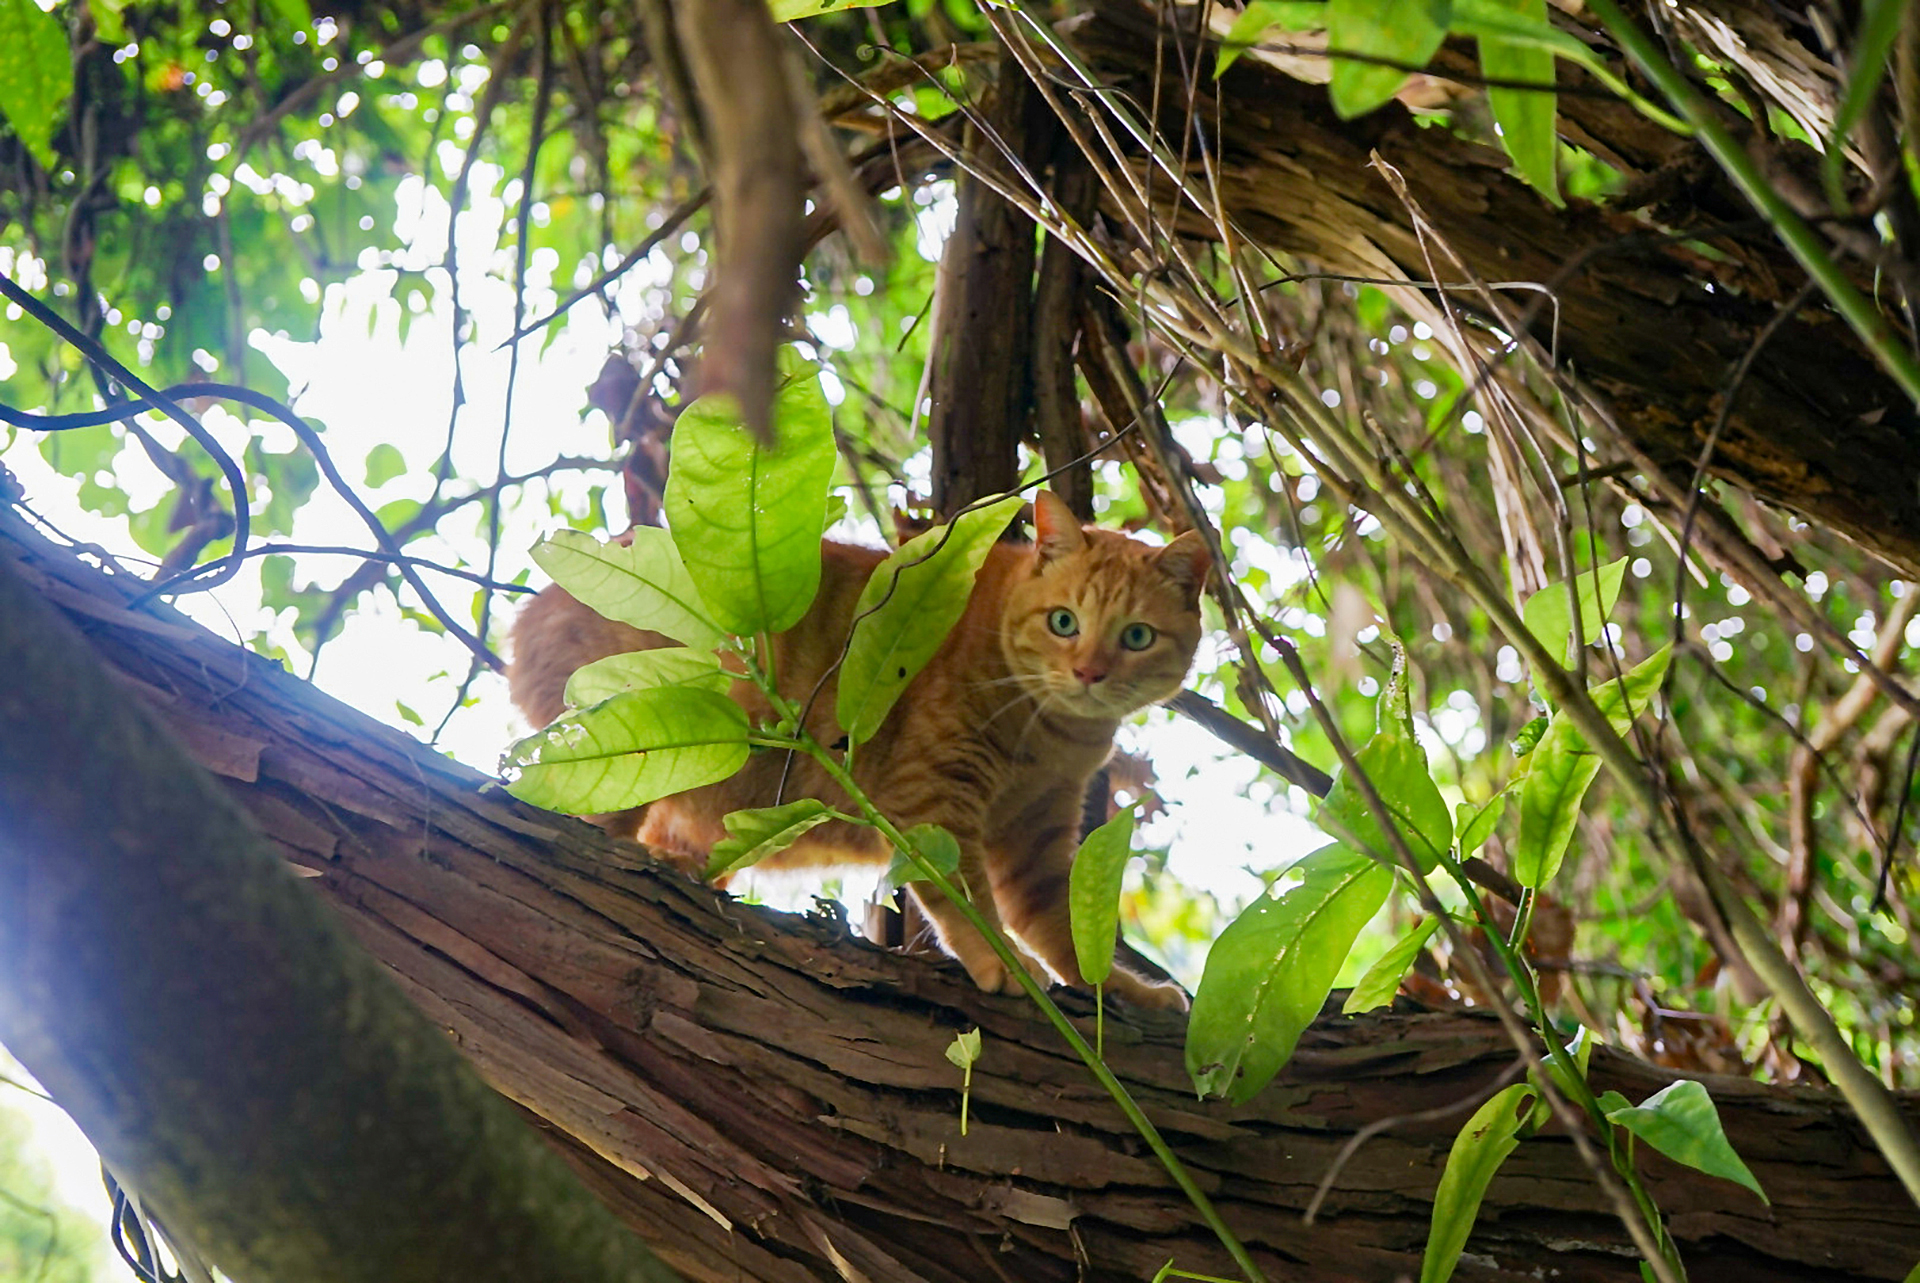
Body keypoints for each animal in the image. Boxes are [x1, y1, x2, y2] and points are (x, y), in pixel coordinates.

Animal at [506, 487, 1198, 998]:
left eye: (1136, 636)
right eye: (1064, 623)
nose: (1089, 672)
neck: (1053, 733)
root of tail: (528, 613)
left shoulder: (1040, 831)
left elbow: (1067, 931)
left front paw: (1126, 992)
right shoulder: (933, 799)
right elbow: (968, 903)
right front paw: (1001, 962)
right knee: (589, 827)